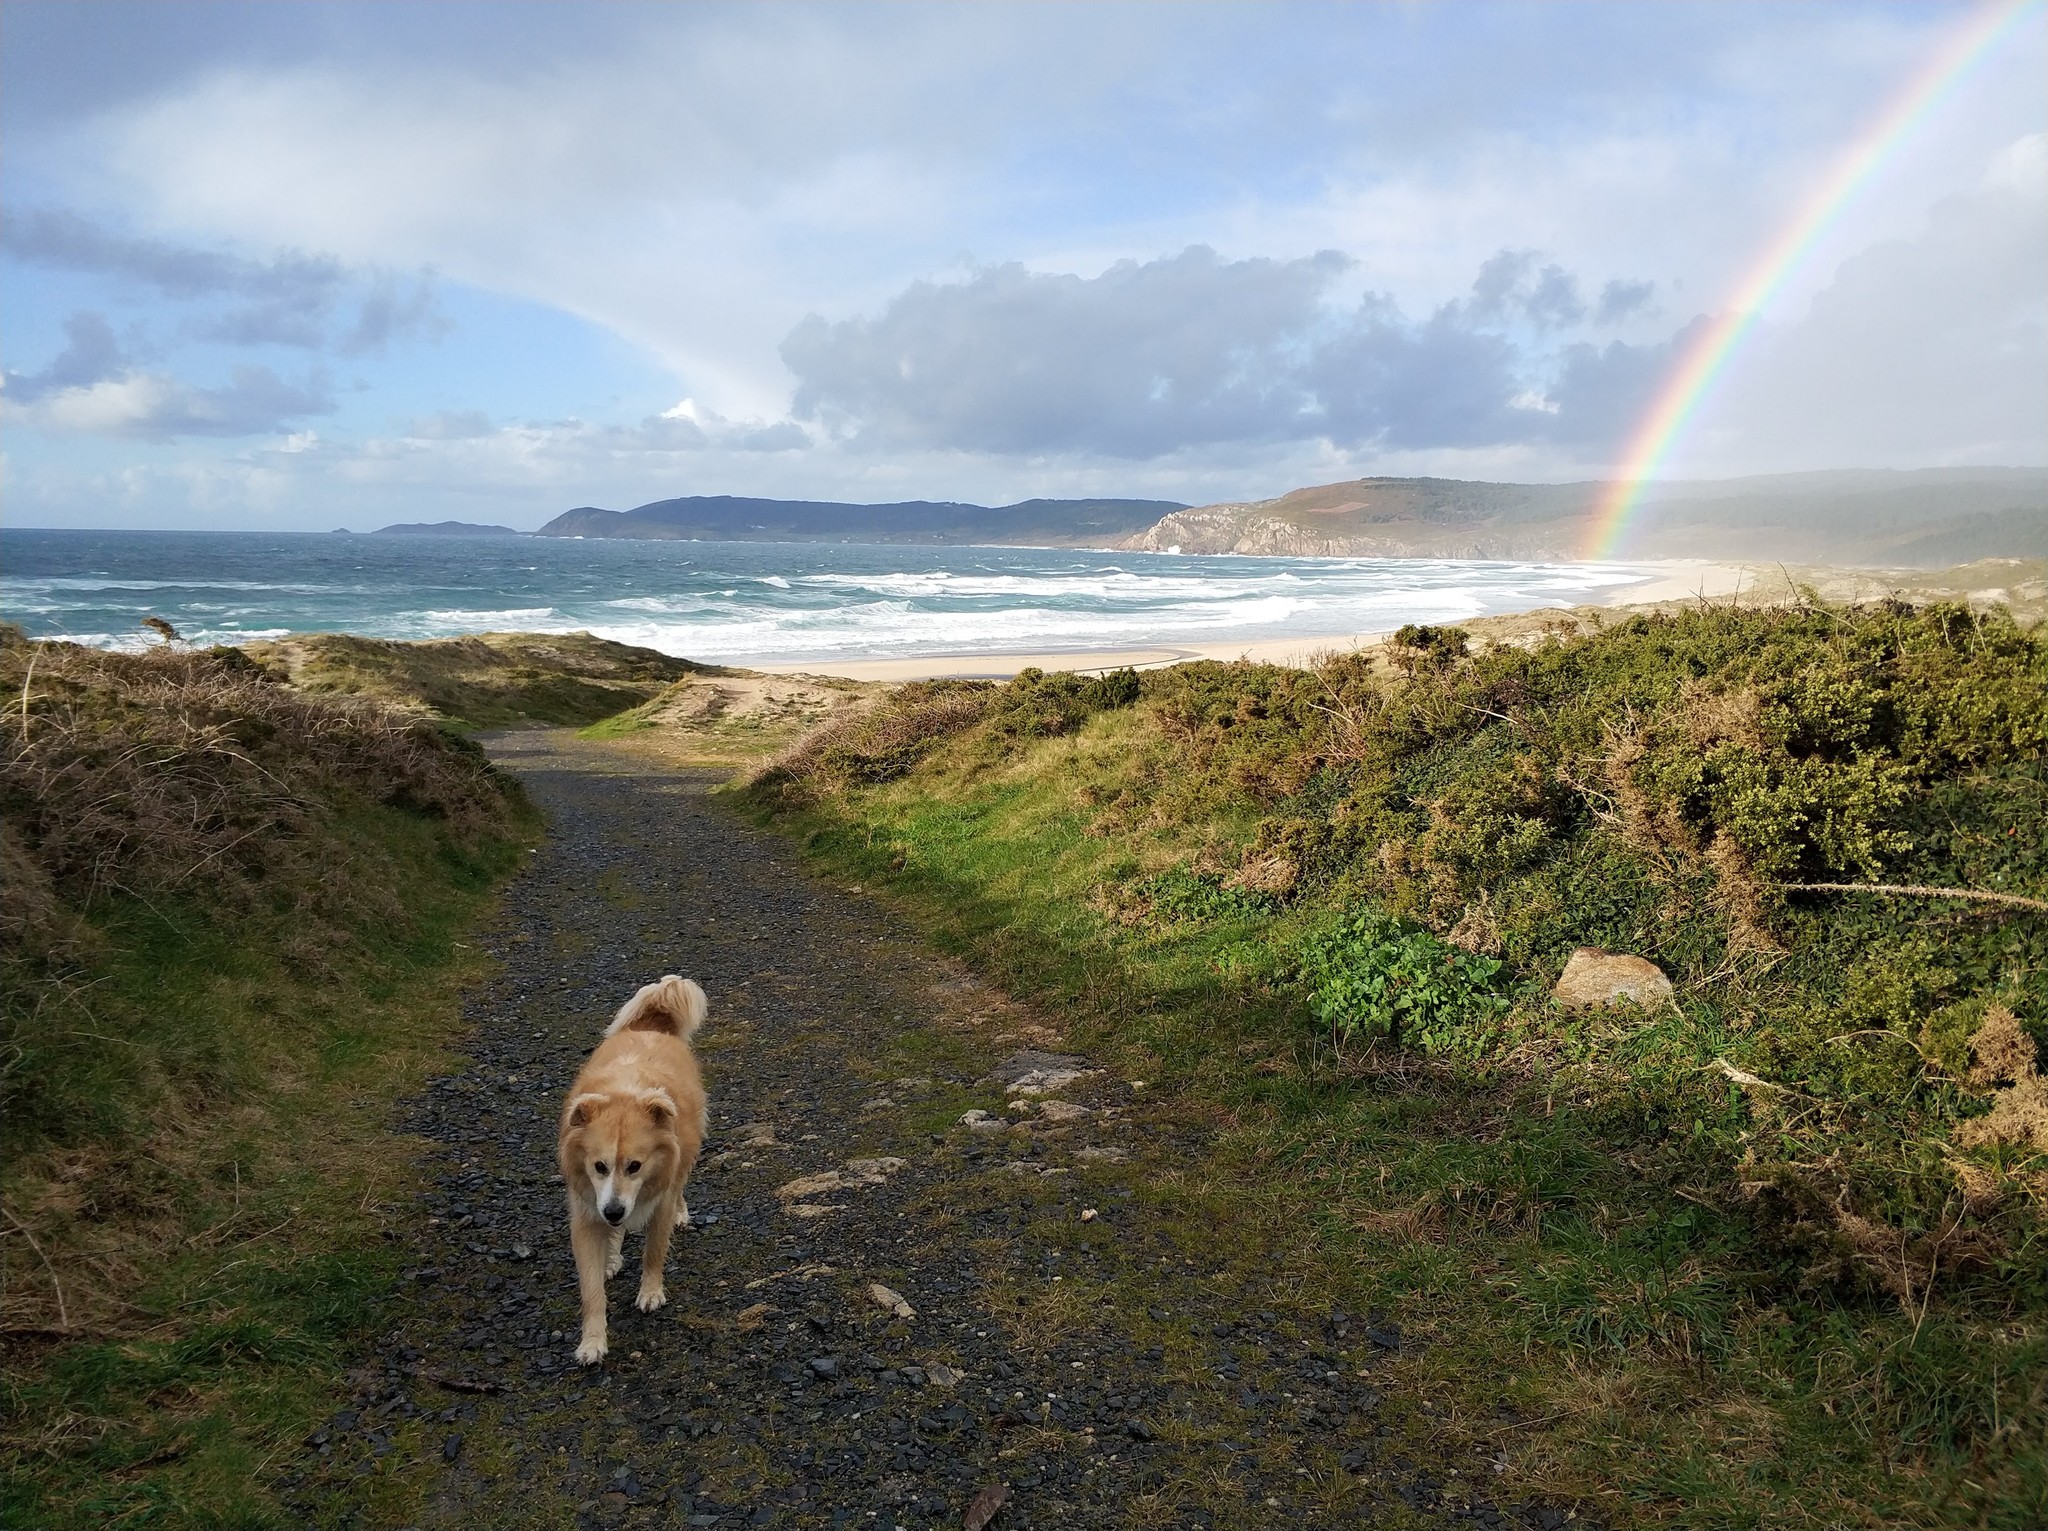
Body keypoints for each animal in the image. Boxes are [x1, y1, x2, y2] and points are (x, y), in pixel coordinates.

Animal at [561, 982, 712, 1367]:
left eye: (636, 1166)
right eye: (598, 1166)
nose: (614, 1211)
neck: (622, 1097)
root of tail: (651, 1026)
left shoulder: (659, 1200)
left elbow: (653, 1251)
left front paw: (651, 1292)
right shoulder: (587, 1214)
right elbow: (591, 1290)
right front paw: (592, 1341)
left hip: (687, 1154)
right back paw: (613, 1256)